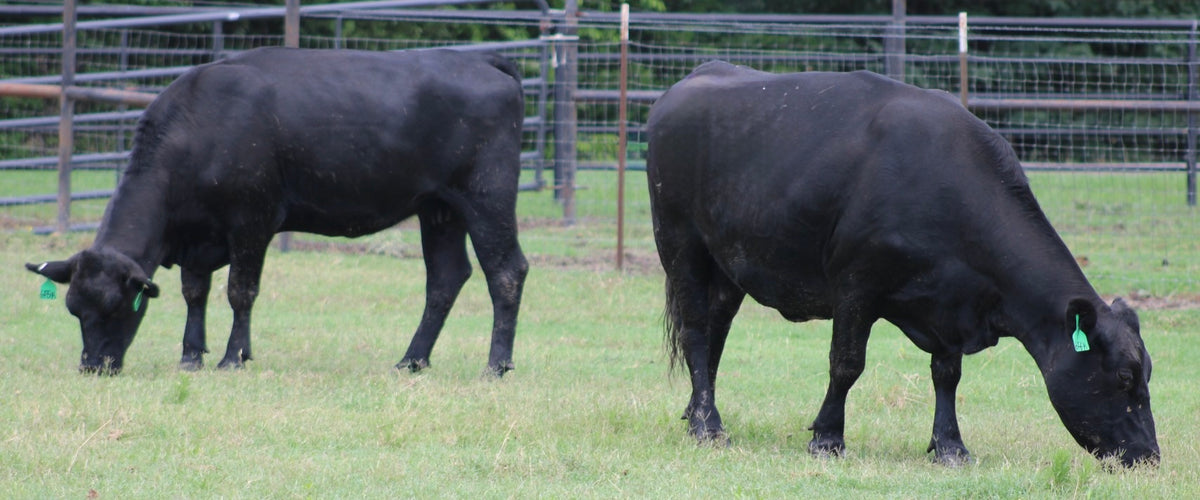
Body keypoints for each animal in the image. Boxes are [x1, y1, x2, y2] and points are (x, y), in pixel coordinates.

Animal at [26, 47, 528, 377]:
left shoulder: (252, 221)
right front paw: (191, 354)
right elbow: (195, 292)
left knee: (506, 271)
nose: (94, 366)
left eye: (115, 306)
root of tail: (481, 60)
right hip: (440, 209)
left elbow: (239, 291)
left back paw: (496, 364)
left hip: (487, 197)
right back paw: (412, 360)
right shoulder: (198, 234)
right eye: (74, 310)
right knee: (445, 278)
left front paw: (233, 357)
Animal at [646, 61, 1158, 467]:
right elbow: (846, 364)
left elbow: (947, 375)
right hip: (679, 243)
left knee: (715, 333)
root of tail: (693, 78)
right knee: (695, 331)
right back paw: (708, 426)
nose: (1149, 456)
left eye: (1148, 373)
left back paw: (696, 412)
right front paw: (827, 438)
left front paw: (950, 446)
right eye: (1124, 377)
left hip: (729, 262)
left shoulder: (951, 302)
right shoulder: (856, 285)